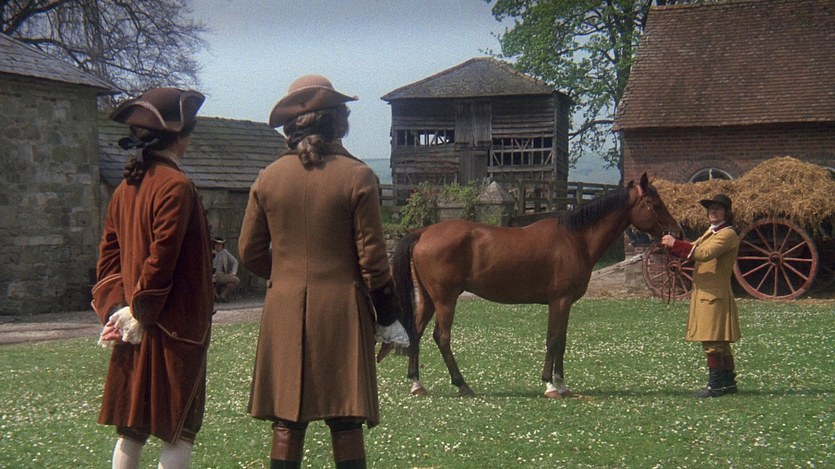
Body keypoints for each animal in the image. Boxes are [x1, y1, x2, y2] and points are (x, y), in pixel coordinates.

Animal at [392, 173, 681, 398]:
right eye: (655, 204)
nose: (676, 232)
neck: (575, 239)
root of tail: (423, 233)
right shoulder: (559, 301)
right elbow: (553, 339)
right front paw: (550, 385)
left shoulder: (565, 303)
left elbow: (562, 340)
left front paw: (562, 384)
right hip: (445, 300)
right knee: (441, 337)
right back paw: (462, 384)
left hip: (428, 299)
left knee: (415, 333)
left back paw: (417, 384)